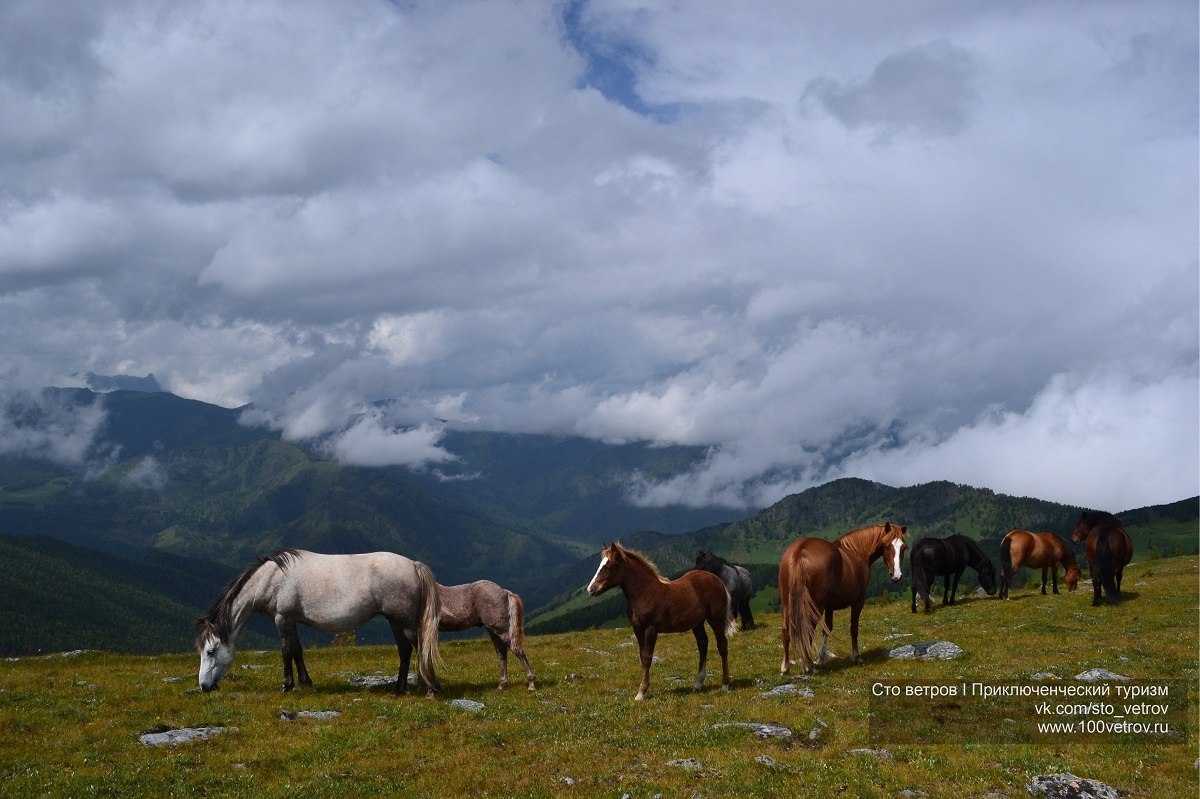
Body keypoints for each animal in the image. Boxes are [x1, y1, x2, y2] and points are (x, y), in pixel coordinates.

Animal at [196, 547, 441, 691]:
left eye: (210, 651)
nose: (204, 686)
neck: (271, 578)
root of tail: (413, 565)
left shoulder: (282, 619)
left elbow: (286, 651)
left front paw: (286, 685)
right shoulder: (291, 620)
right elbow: (297, 651)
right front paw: (305, 682)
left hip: (403, 621)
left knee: (419, 648)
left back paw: (428, 687)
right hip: (395, 621)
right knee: (406, 650)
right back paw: (400, 688)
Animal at [585, 542, 734, 695]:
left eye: (608, 567)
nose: (591, 589)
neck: (644, 593)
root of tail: (718, 581)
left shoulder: (651, 629)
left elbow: (647, 657)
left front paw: (642, 692)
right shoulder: (637, 629)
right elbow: (642, 656)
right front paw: (645, 690)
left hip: (716, 619)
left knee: (722, 645)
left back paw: (725, 684)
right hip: (697, 623)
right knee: (703, 644)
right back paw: (698, 684)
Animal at [777, 520, 907, 676]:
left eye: (904, 547)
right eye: (887, 545)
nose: (896, 575)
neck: (858, 551)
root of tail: (800, 552)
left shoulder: (830, 606)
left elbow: (827, 629)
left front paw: (821, 658)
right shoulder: (858, 602)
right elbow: (853, 628)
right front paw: (856, 656)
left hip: (787, 603)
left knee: (786, 630)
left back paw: (785, 667)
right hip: (815, 605)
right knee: (808, 629)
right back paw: (809, 666)